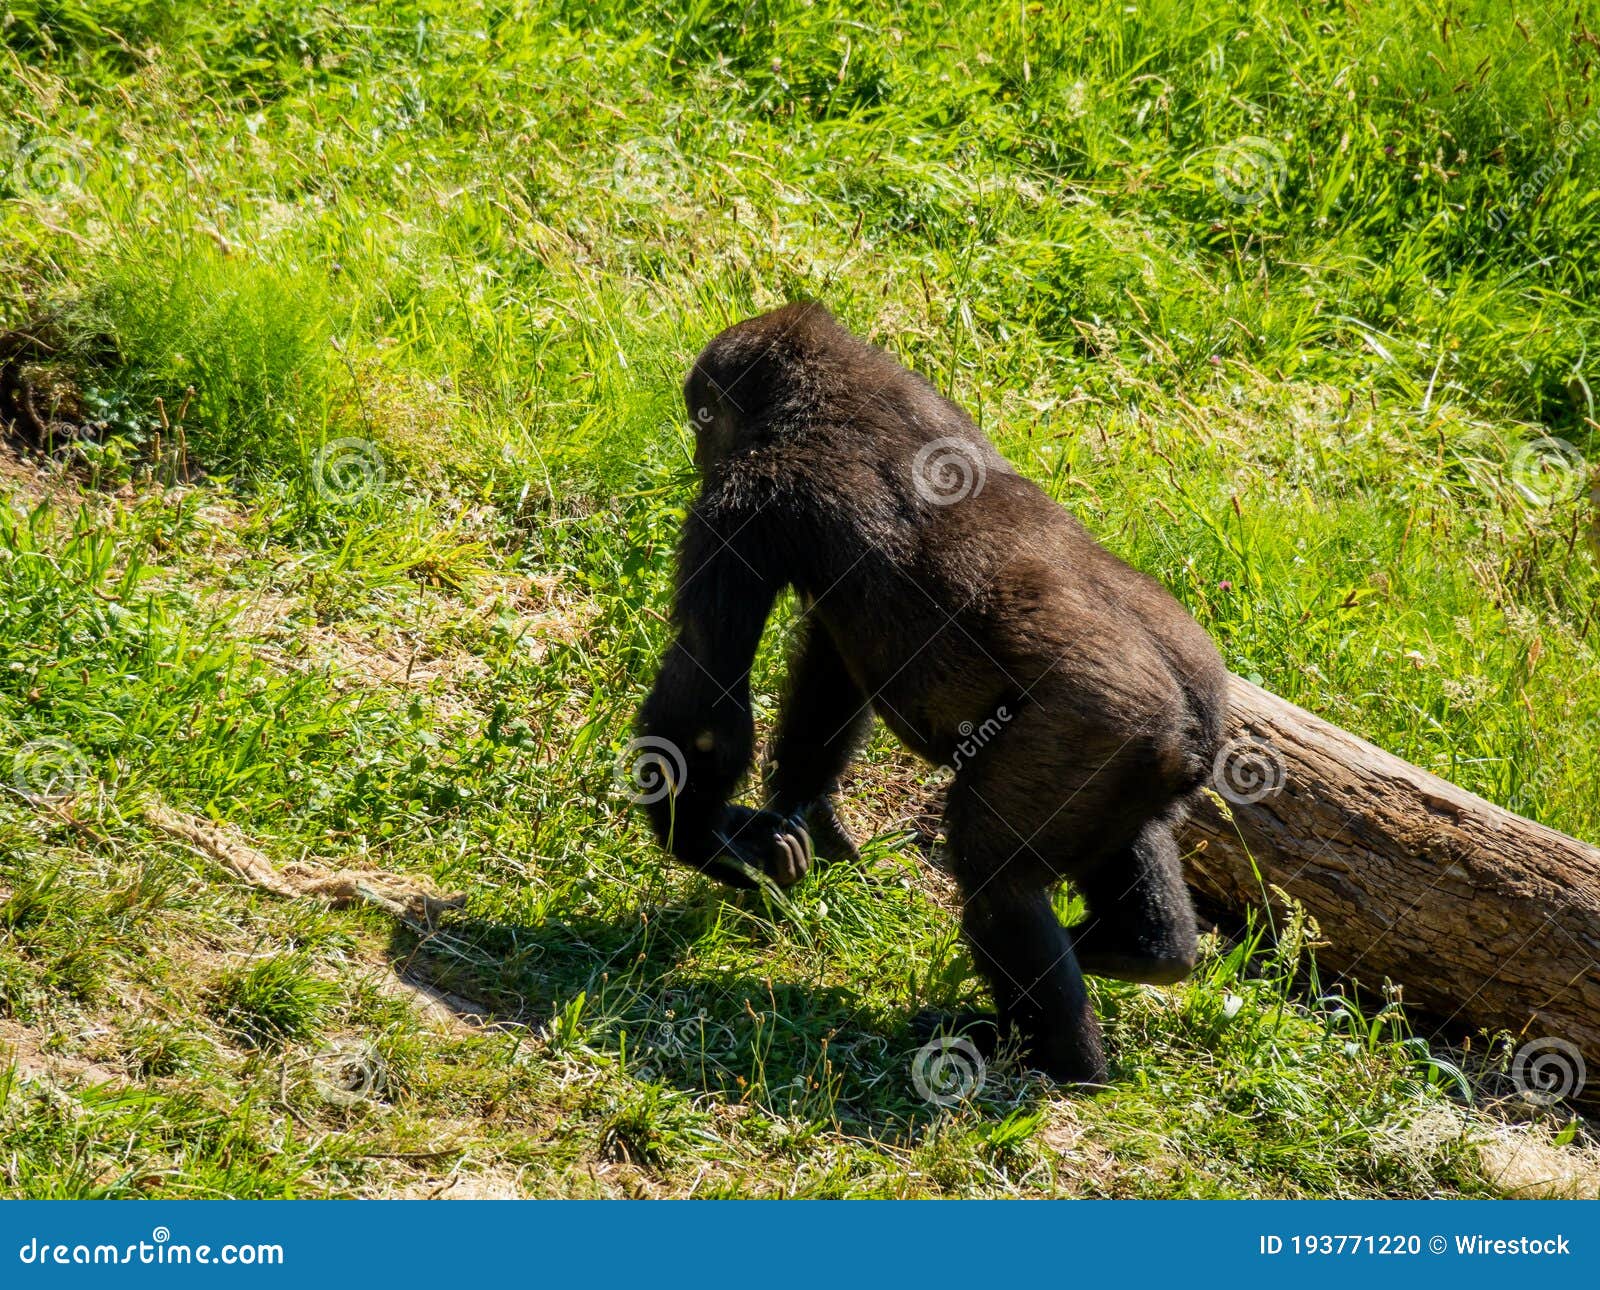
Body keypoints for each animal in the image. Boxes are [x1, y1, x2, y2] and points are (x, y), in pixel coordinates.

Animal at [636, 303, 1227, 1084]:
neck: (828, 389)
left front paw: (703, 841)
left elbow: (706, 696)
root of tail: (1197, 721)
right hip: (1153, 759)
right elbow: (830, 666)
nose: (697, 450)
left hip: (1099, 729)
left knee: (994, 876)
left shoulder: (745, 501)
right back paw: (1142, 953)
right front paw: (800, 814)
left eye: (706, 422)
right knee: (1129, 840)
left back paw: (1051, 1058)